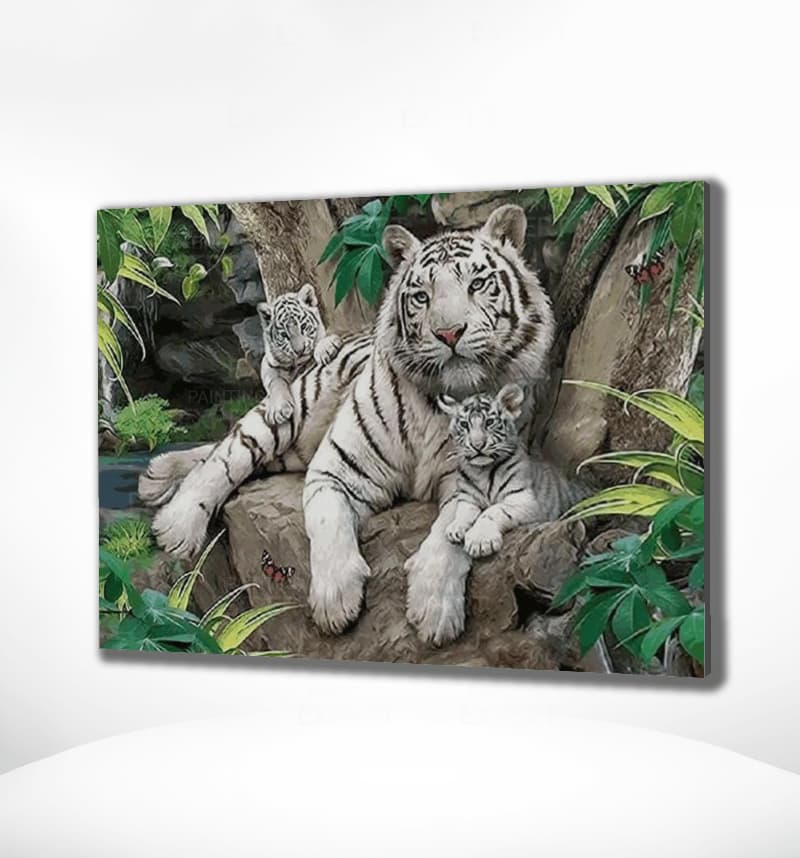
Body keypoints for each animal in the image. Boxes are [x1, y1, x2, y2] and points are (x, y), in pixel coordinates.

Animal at [256, 282, 342, 425]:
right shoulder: (268, 363)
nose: (299, 350)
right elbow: (275, 382)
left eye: (303, 327)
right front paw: (278, 410)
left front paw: (325, 349)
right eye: (284, 335)